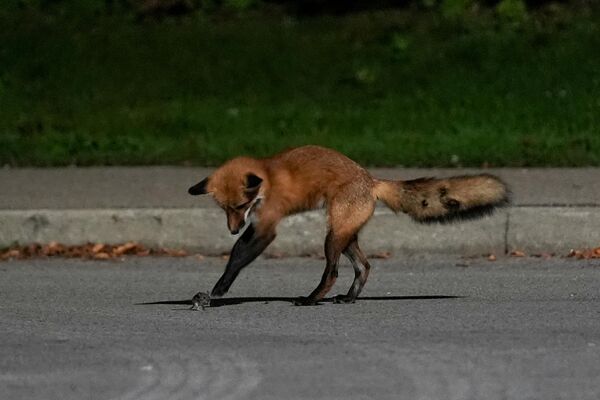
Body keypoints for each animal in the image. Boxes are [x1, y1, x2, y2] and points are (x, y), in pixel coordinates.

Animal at [190, 147, 508, 306]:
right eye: (224, 208)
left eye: (240, 206)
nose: (232, 229)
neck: (268, 178)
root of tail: (371, 180)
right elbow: (236, 253)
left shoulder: (266, 226)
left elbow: (237, 257)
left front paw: (219, 289)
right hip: (345, 236)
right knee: (364, 267)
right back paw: (349, 298)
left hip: (332, 237)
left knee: (332, 273)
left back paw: (311, 299)